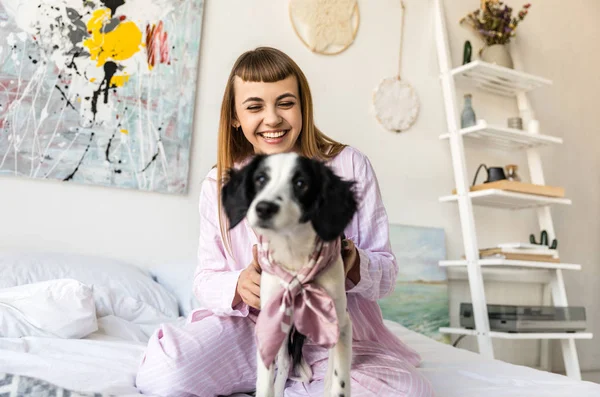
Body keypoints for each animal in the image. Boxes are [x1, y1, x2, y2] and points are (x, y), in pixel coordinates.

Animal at [223, 152, 358, 396]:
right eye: (260, 179)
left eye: (301, 183)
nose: (264, 208)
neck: (294, 255)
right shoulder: (272, 321)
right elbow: (266, 379)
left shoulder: (341, 323)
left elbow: (340, 379)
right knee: (285, 361)